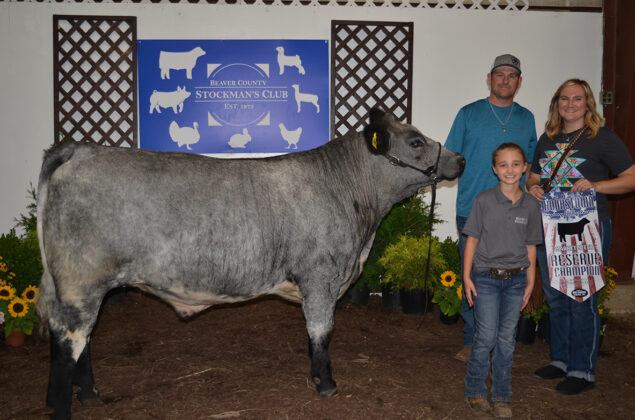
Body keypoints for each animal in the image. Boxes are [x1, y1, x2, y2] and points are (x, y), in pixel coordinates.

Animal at [36, 108, 465, 419]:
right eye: (414, 141)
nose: (459, 159)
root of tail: (80, 151)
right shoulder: (320, 277)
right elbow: (321, 332)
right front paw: (326, 384)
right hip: (81, 280)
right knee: (70, 341)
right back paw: (63, 406)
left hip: (77, 285)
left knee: (74, 339)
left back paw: (89, 394)